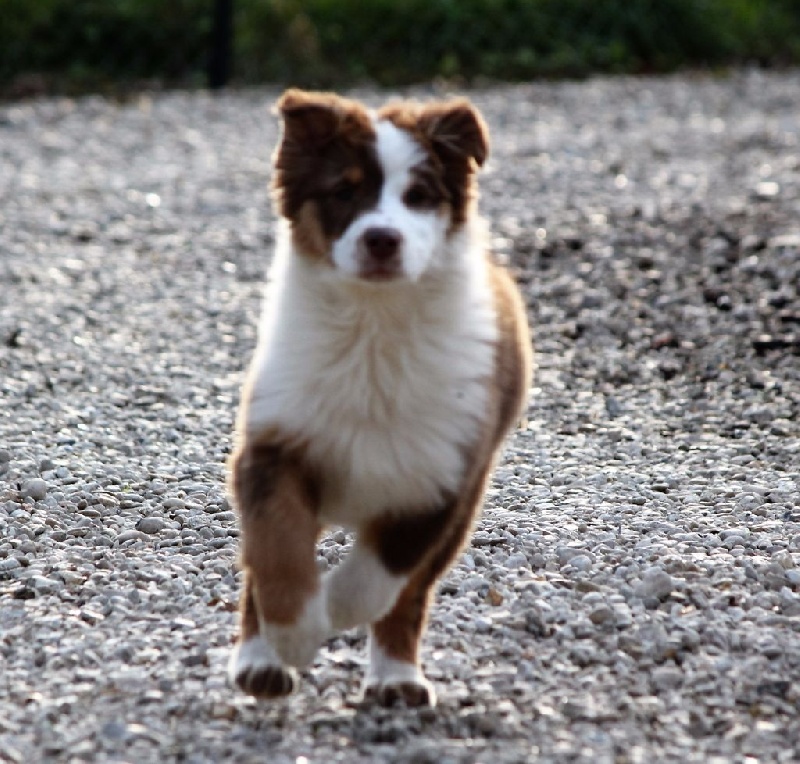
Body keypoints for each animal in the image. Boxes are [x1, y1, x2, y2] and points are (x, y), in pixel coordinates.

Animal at [228, 88, 536, 704]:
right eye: (344, 191)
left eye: (419, 196)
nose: (382, 239)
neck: (373, 327)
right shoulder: (274, 445)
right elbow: (274, 549)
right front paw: (293, 635)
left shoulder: (442, 479)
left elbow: (382, 576)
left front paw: (333, 610)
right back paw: (260, 662)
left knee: (410, 595)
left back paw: (397, 677)